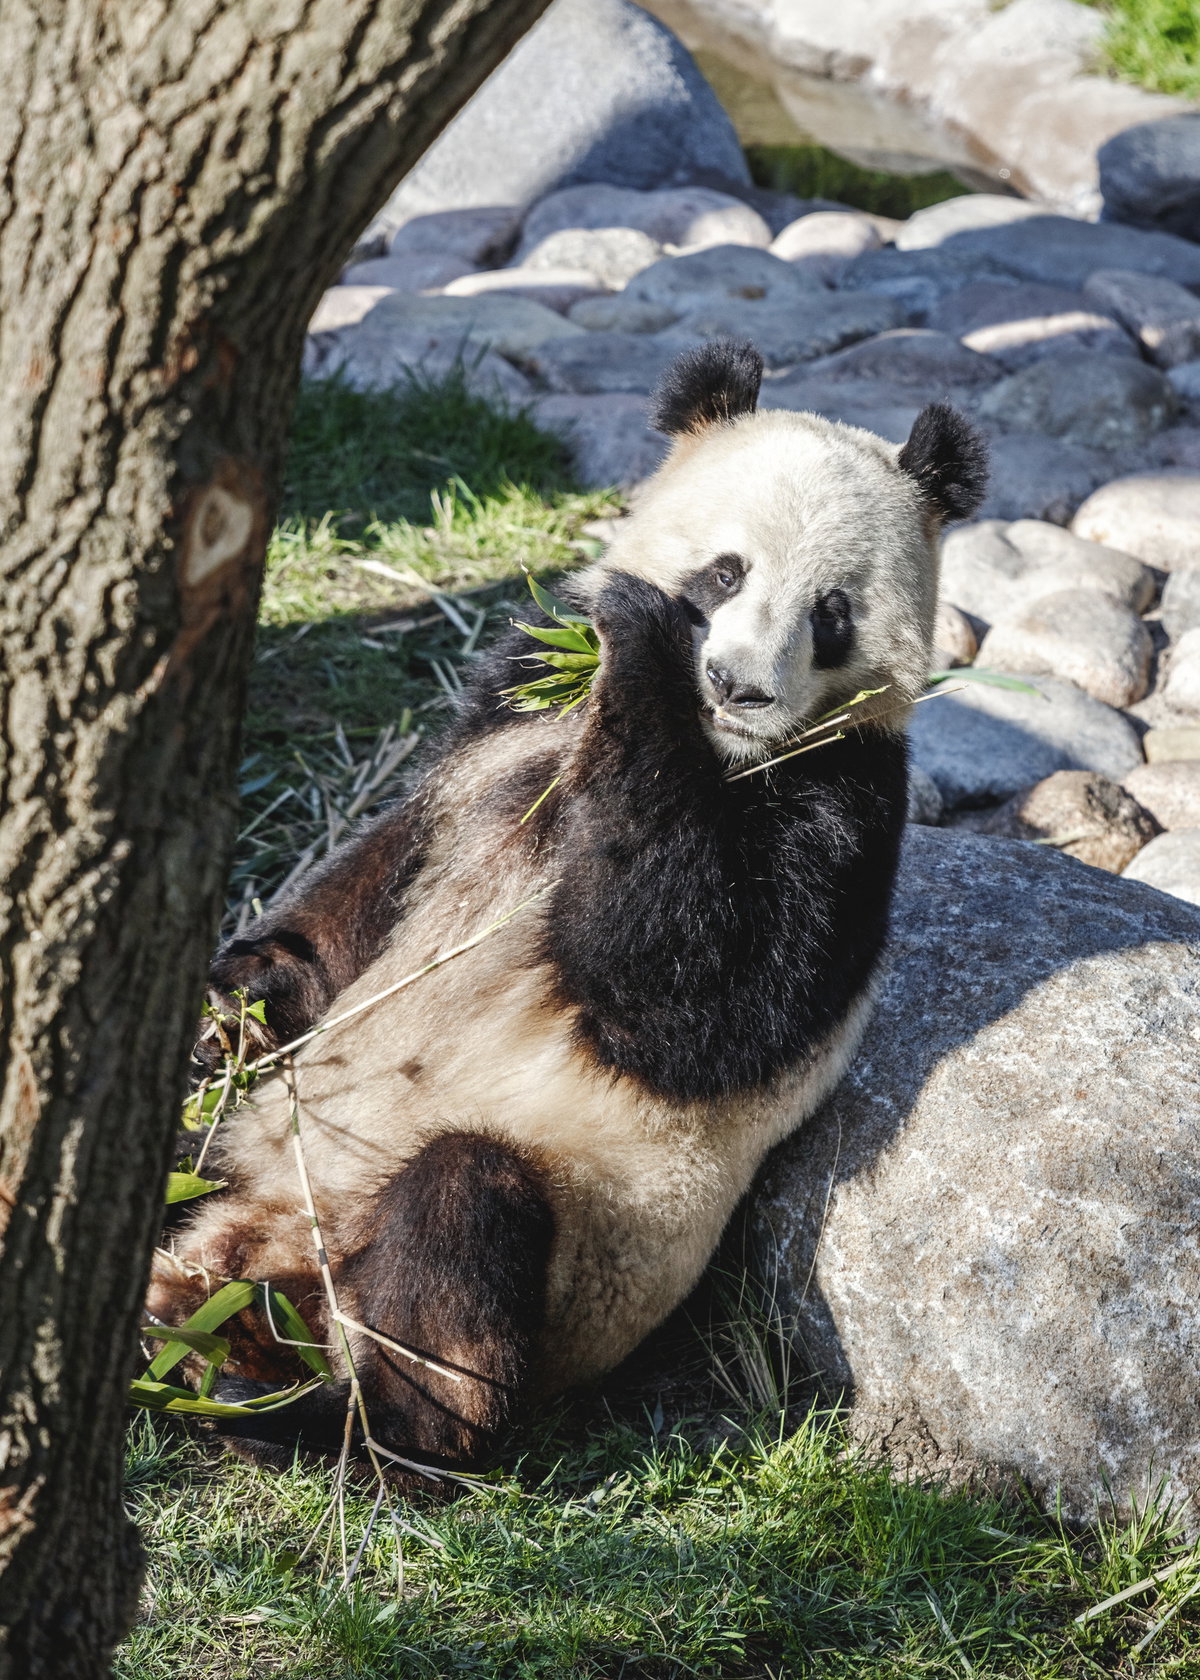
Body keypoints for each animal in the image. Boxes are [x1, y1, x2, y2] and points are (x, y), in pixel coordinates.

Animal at [149, 339, 987, 1472]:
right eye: (726, 571)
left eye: (832, 613)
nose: (738, 685)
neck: (726, 755)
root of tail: (245, 1267)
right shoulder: (508, 720)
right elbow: (383, 874)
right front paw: (235, 1008)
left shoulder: (842, 800)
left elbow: (697, 1004)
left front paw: (643, 654)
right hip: (246, 1160)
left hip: (564, 1265)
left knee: (461, 1225)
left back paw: (342, 1420)